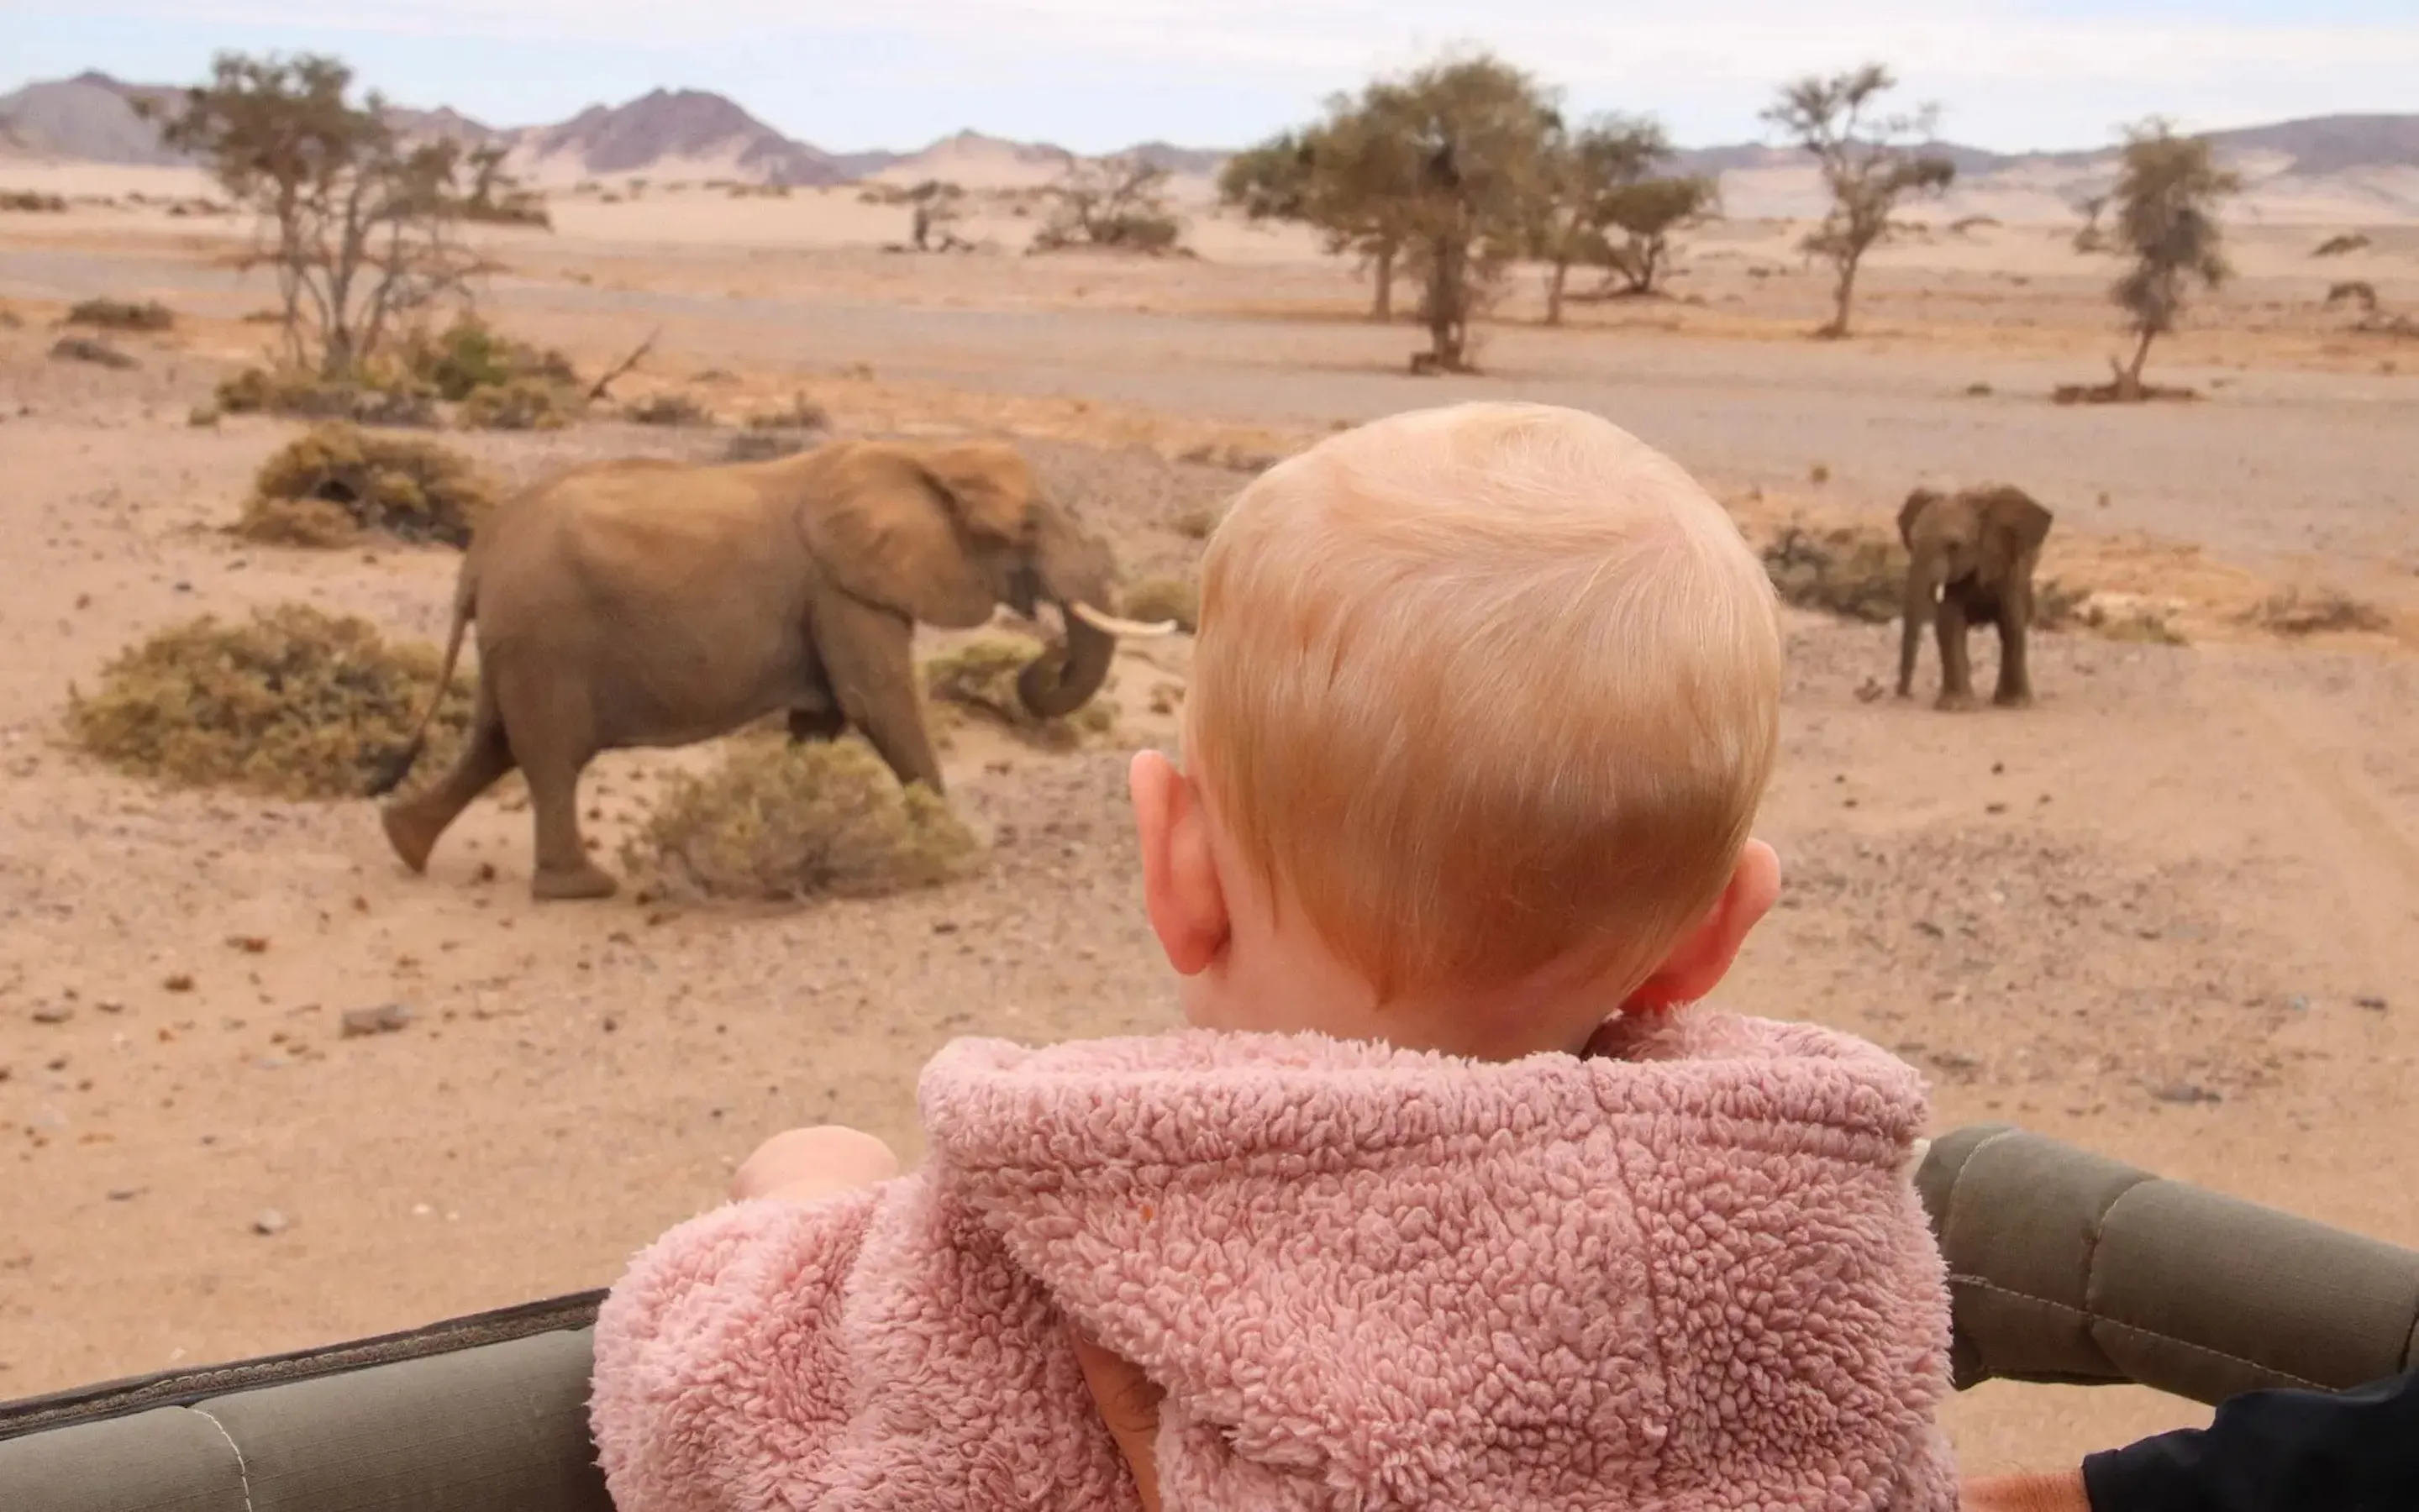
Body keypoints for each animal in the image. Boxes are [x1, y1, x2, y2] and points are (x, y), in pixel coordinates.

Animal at [368, 437, 1176, 901]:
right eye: (1026, 527)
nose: (1043, 655)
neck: (919, 457)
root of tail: (478, 554)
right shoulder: (842, 586)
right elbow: (877, 698)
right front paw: (957, 847)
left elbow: (821, 721)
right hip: (547, 636)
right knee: (549, 757)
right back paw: (584, 887)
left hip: (516, 640)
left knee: (494, 743)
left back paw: (404, 844)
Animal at [1895, 484, 2055, 711]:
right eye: (1912, 542)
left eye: (1953, 546)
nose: (1904, 695)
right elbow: (1949, 623)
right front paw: (1955, 706)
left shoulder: (2009, 569)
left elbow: (2011, 624)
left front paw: (2015, 704)